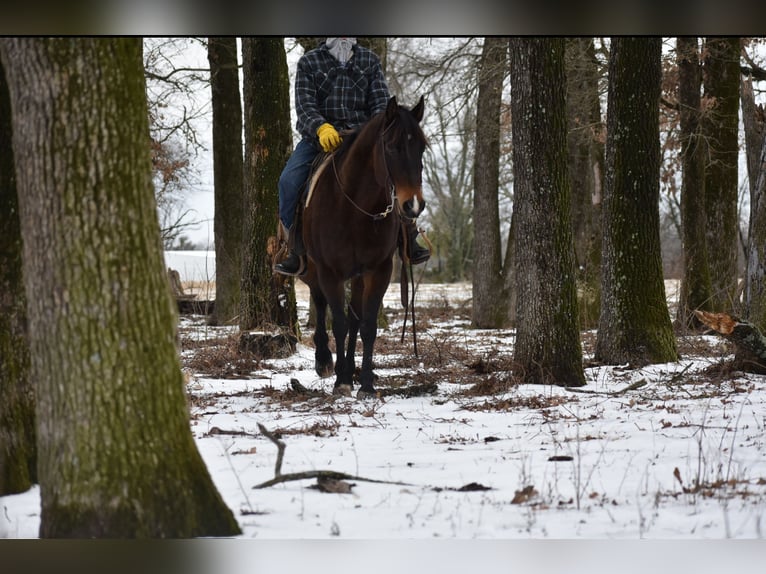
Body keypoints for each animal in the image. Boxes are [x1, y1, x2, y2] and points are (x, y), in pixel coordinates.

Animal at [300, 95, 427, 399]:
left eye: (422, 147)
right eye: (392, 146)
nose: (413, 205)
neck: (355, 207)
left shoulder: (378, 270)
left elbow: (367, 325)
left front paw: (366, 383)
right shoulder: (330, 272)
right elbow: (339, 323)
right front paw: (341, 381)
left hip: (357, 276)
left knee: (355, 318)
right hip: (311, 269)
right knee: (319, 302)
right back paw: (325, 361)